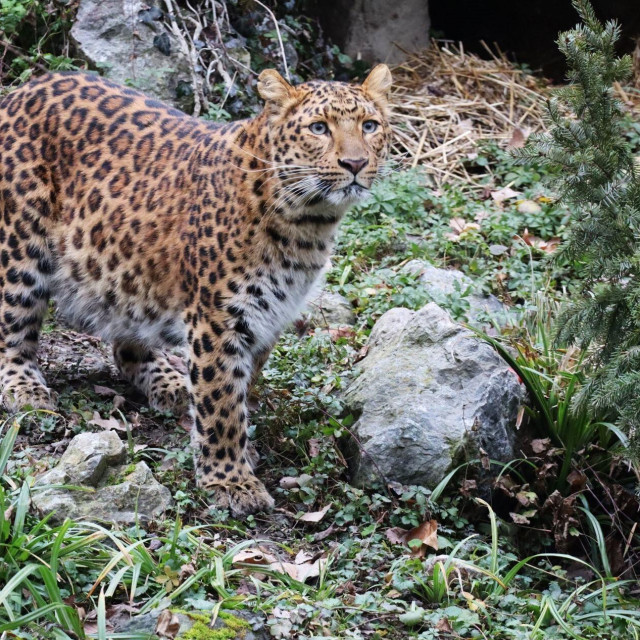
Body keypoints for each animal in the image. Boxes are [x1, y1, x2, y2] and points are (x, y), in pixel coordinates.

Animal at [0, 64, 392, 516]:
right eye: (318, 128)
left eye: (369, 125)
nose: (355, 163)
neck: (308, 223)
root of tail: (23, 89)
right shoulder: (219, 317)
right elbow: (221, 400)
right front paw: (231, 480)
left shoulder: (268, 315)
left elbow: (241, 387)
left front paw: (242, 449)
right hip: (20, 249)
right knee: (13, 327)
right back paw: (25, 389)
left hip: (128, 267)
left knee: (127, 346)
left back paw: (170, 383)